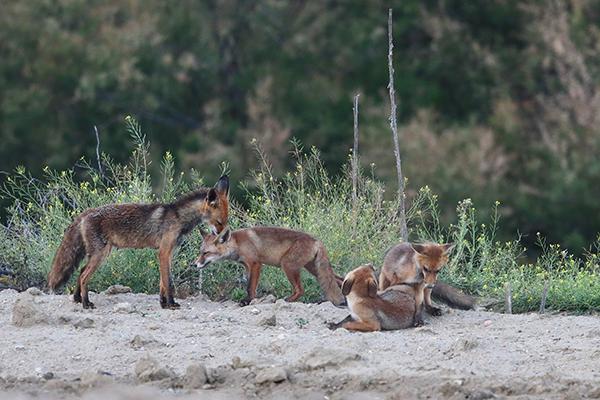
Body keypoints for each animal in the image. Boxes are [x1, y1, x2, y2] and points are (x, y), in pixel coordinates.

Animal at [46, 175, 230, 310]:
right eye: (219, 222)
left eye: (225, 221)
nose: (223, 236)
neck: (178, 218)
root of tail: (86, 212)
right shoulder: (163, 252)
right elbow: (168, 282)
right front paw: (171, 304)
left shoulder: (168, 253)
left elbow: (162, 282)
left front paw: (163, 303)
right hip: (101, 254)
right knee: (84, 276)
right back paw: (86, 303)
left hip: (97, 254)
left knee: (81, 271)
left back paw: (77, 298)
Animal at [195, 225, 344, 306]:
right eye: (200, 252)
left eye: (206, 253)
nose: (194, 264)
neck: (237, 243)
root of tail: (317, 240)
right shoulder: (247, 266)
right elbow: (249, 284)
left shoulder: (255, 263)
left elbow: (250, 287)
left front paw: (248, 301)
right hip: (314, 269)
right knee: (339, 280)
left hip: (288, 265)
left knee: (300, 290)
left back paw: (288, 300)